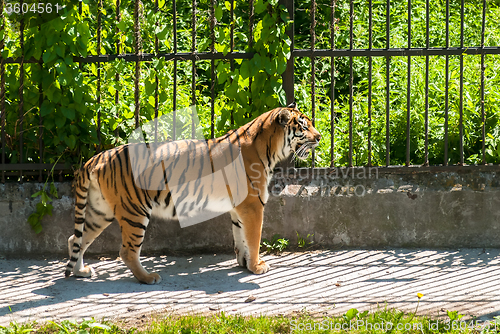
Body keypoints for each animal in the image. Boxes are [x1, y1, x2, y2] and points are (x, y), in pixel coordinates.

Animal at [65, 102, 320, 284]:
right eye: (303, 126)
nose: (319, 137)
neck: (269, 148)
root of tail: (96, 158)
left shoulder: (239, 207)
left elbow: (240, 237)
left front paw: (243, 262)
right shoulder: (253, 205)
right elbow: (254, 237)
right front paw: (257, 266)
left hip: (101, 212)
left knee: (76, 239)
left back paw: (80, 271)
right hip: (134, 211)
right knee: (127, 250)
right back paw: (148, 278)